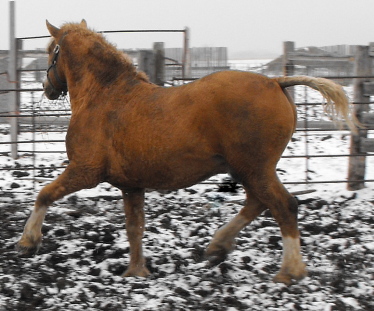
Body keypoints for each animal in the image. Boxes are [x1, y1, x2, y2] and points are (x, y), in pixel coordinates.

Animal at [16, 20, 356, 286]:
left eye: (51, 50)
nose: (47, 87)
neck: (106, 96)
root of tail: (276, 81)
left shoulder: (85, 170)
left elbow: (44, 194)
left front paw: (28, 242)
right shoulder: (131, 185)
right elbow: (135, 227)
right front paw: (136, 271)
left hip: (254, 169)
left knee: (283, 206)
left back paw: (289, 271)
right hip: (247, 170)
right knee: (258, 203)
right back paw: (218, 247)